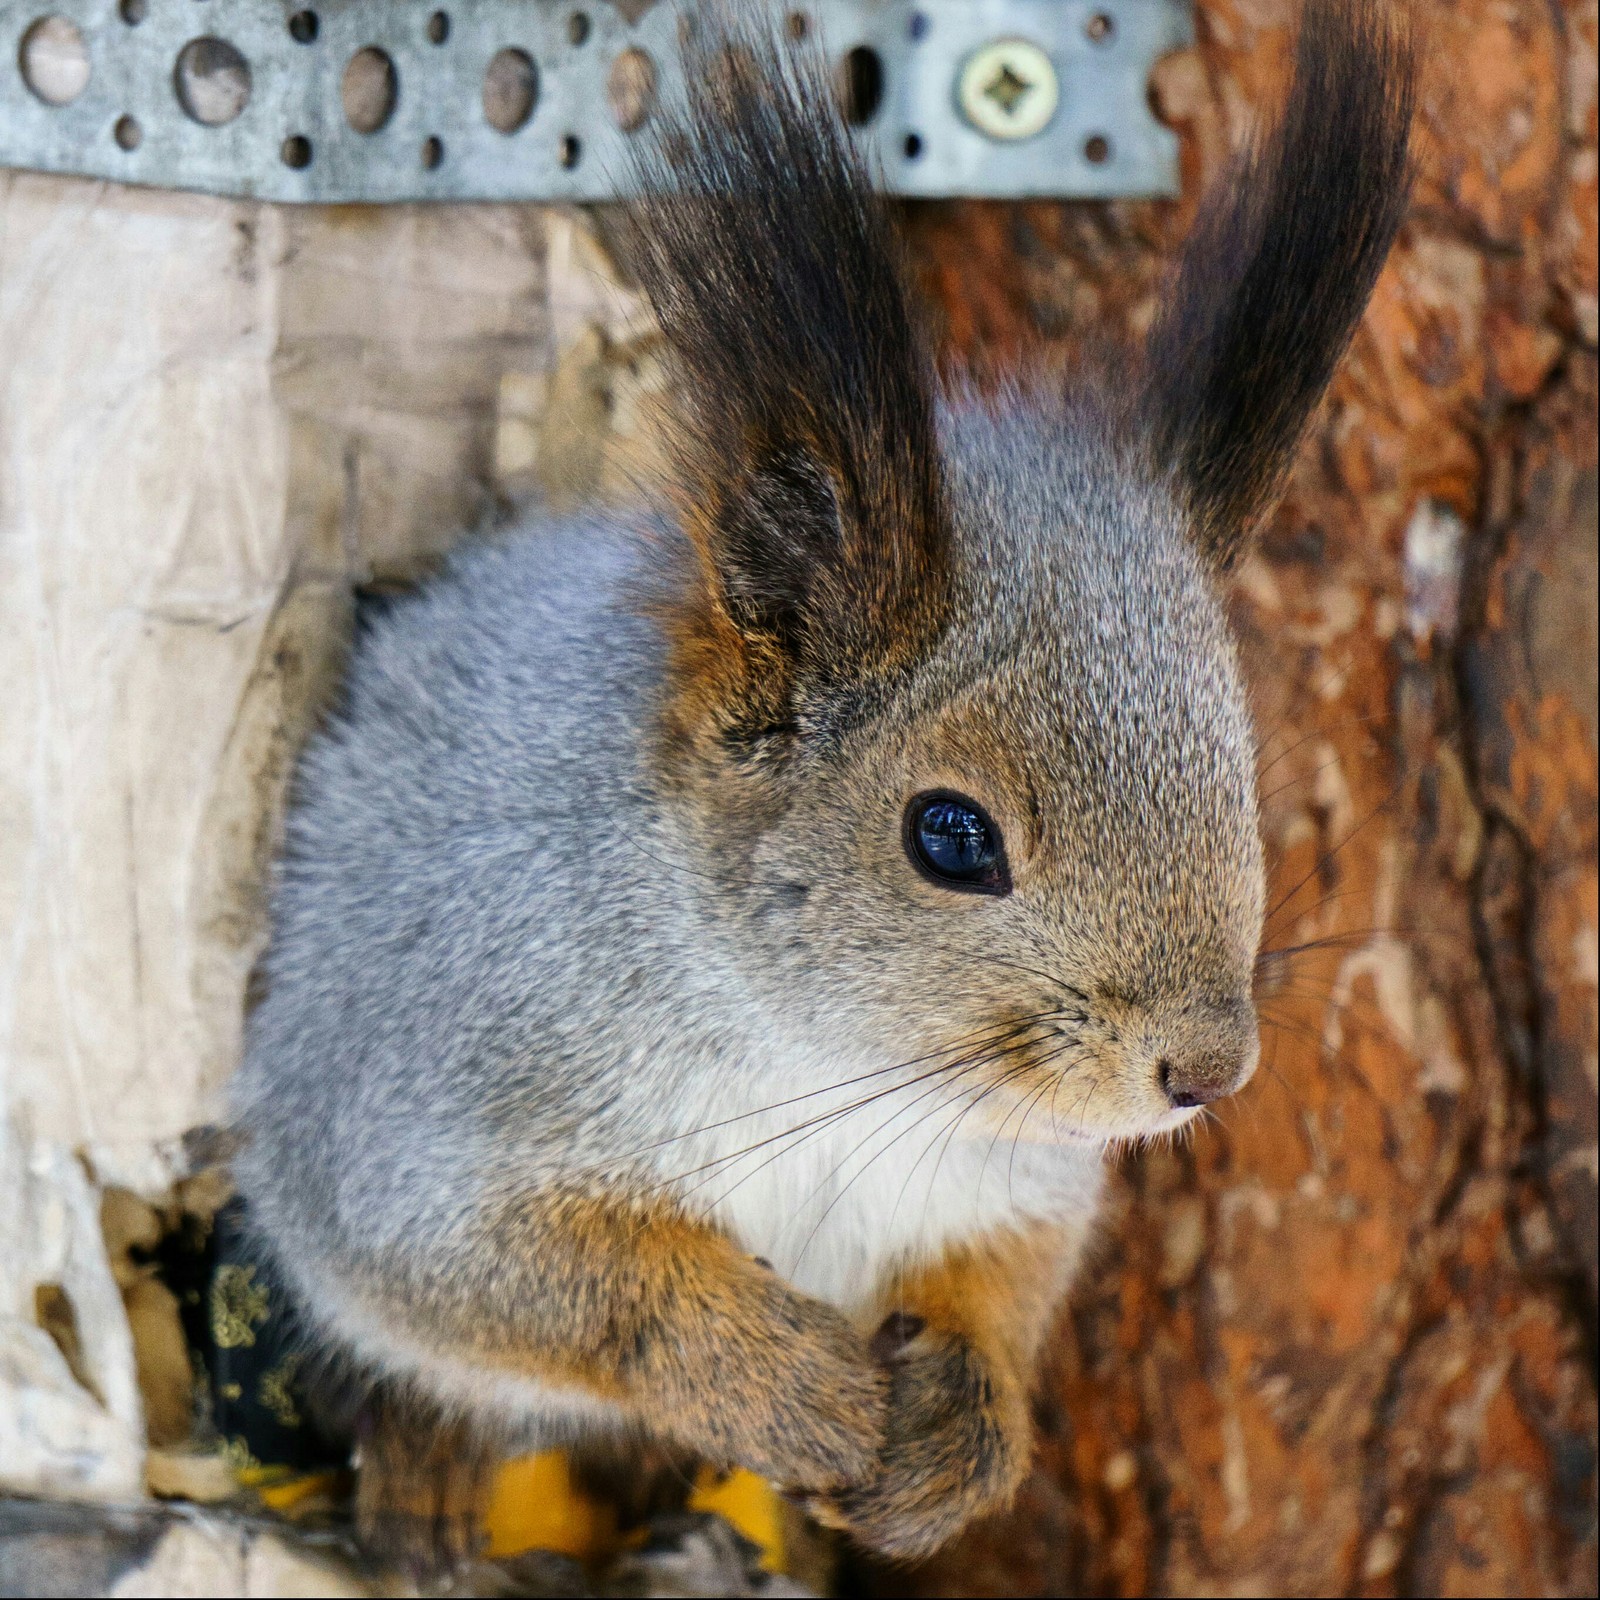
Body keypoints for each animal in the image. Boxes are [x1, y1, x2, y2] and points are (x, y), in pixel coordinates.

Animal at [233, 0, 1414, 1574]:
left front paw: (961, 1427)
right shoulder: (426, 1088)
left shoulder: (1019, 1174)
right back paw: (429, 1483)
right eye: (951, 836)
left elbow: (1006, 1280)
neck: (839, 1069)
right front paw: (773, 1380)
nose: (1204, 1072)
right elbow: (509, 1267)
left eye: (1236, 760)